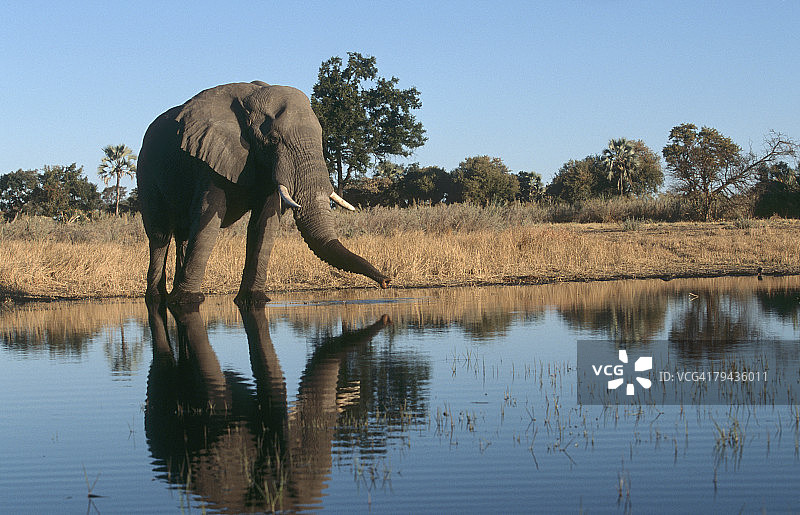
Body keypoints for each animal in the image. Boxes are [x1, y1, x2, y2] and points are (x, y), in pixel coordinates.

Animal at [137, 81, 391, 306]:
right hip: (146, 173)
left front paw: (254, 299)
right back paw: (158, 298)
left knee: (181, 236)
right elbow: (207, 222)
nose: (387, 281)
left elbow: (264, 225)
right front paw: (187, 301)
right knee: (159, 235)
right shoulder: (211, 156)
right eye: (274, 139)